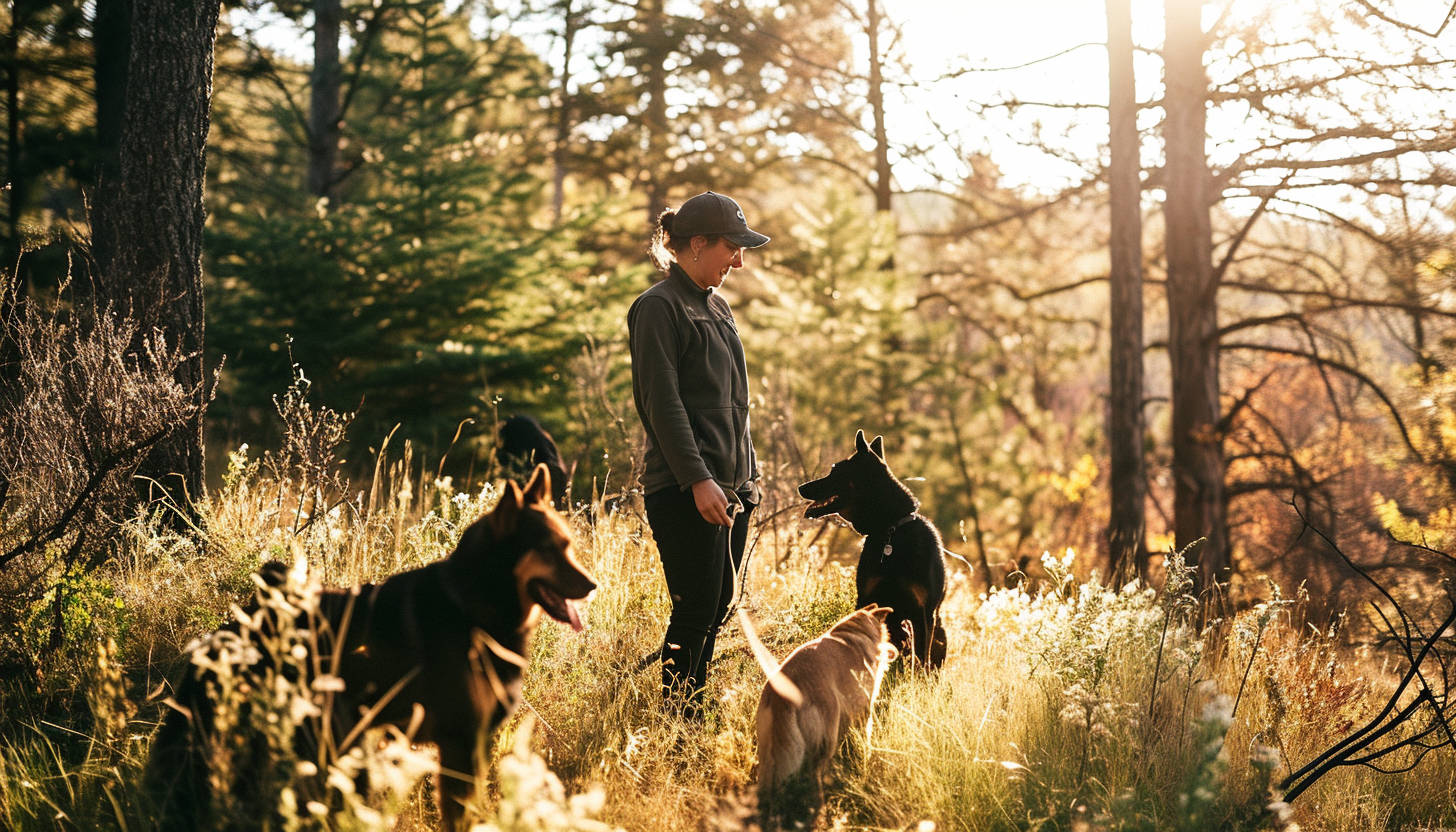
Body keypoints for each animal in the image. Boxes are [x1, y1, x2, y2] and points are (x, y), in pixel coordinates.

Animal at [143, 466, 596, 832]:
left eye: (569, 545)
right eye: (550, 549)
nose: (593, 586)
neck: (473, 605)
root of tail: (249, 613)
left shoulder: (475, 741)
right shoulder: (459, 741)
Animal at [751, 606, 896, 832]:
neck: (855, 633)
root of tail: (783, 694)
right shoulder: (865, 707)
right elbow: (866, 739)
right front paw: (867, 757)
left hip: (769, 751)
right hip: (825, 738)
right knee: (814, 774)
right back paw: (820, 811)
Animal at [803, 434, 949, 667]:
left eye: (835, 470)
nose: (801, 488)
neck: (890, 530)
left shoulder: (923, 614)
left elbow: (920, 660)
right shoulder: (867, 601)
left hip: (939, 630)